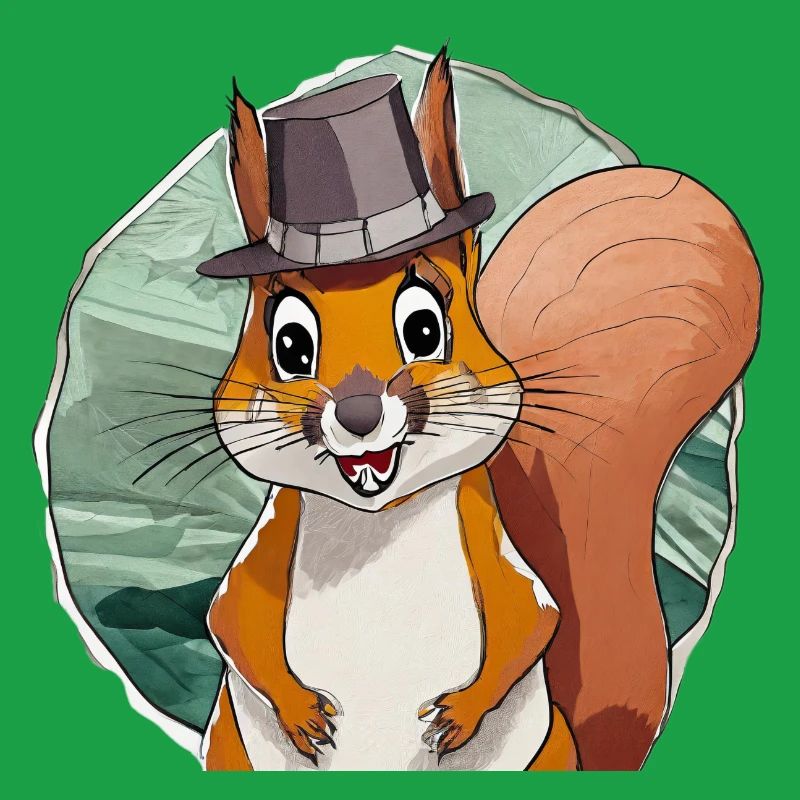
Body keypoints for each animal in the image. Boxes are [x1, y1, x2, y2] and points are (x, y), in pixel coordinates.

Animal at [197, 49, 760, 771]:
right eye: (289, 343)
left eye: (425, 327)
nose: (358, 414)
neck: (375, 526)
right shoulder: (270, 540)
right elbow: (229, 618)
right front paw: (302, 712)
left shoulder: (492, 544)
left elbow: (535, 619)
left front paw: (459, 714)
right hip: (229, 752)